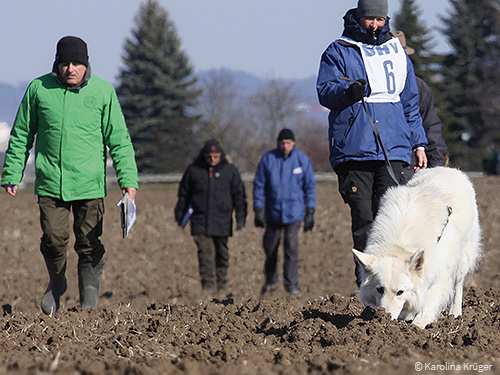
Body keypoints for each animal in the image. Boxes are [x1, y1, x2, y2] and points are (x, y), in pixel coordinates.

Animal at [352, 167, 480, 328]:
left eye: (400, 292)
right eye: (379, 290)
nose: (386, 318)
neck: (399, 244)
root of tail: (448, 169)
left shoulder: (441, 276)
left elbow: (428, 305)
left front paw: (416, 328)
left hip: (462, 260)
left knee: (458, 287)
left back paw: (455, 314)